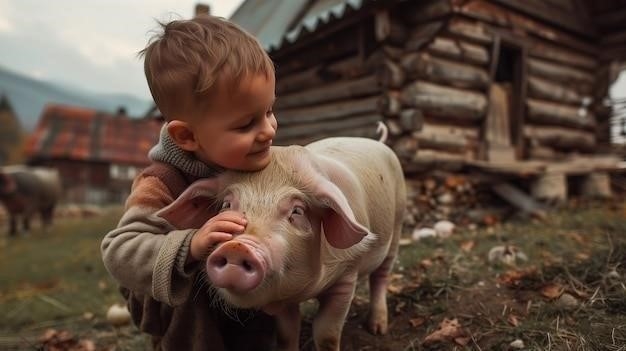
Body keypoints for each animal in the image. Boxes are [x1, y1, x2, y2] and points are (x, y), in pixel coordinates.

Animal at [154, 138, 402, 351]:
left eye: (297, 211)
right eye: (226, 205)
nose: (237, 247)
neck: (306, 291)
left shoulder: (347, 275)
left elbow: (327, 334)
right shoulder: (281, 299)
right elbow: (286, 333)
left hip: (396, 226)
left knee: (381, 275)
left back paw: (377, 328)